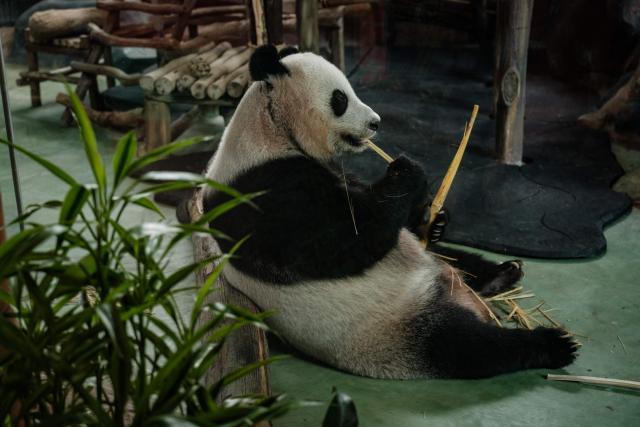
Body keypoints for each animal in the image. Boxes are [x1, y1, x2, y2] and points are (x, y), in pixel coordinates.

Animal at [199, 45, 578, 379]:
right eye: (340, 99)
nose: (375, 123)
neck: (270, 129)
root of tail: (453, 294)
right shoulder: (263, 193)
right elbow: (344, 240)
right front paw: (406, 171)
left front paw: (433, 219)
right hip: (395, 331)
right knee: (465, 347)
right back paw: (553, 345)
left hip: (430, 272)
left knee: (454, 258)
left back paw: (502, 272)